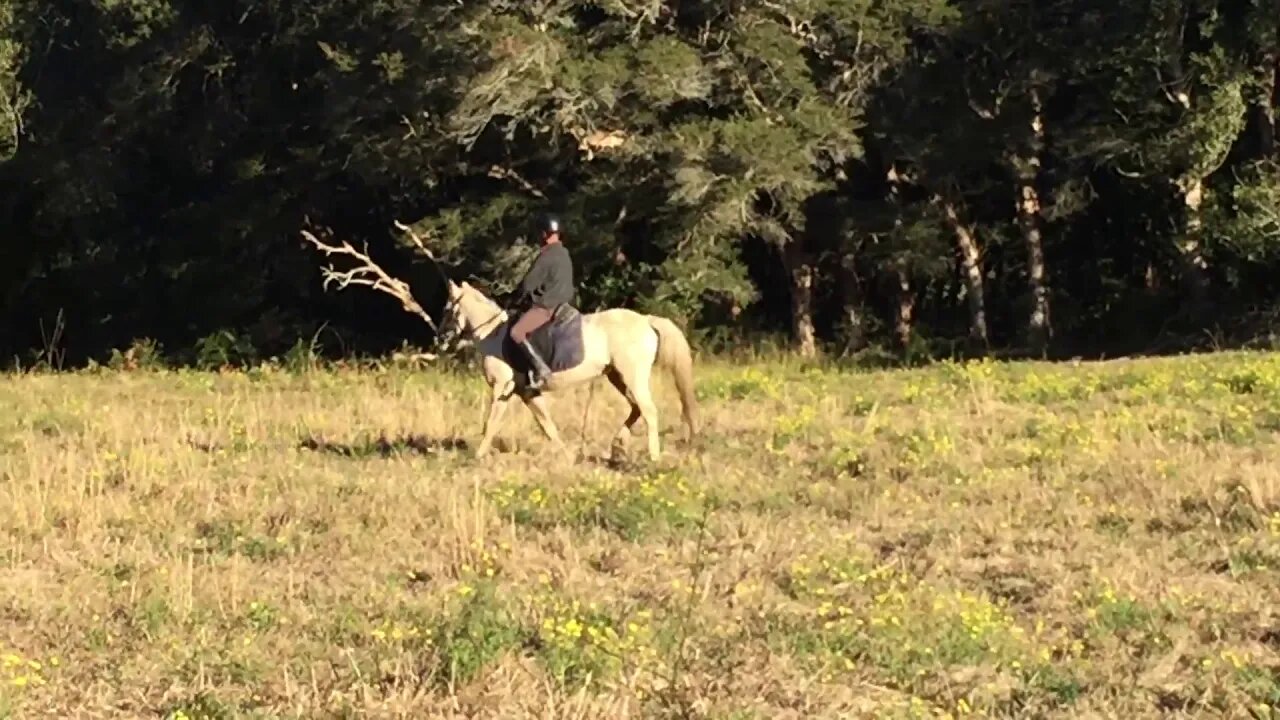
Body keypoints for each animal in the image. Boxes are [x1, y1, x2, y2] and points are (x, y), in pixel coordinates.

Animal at [440, 280, 701, 458]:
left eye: (447, 308)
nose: (440, 337)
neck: (493, 334)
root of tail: (646, 320)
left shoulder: (501, 388)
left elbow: (492, 422)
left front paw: (477, 456)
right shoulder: (526, 392)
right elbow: (546, 424)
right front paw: (565, 453)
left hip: (632, 376)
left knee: (648, 411)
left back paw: (653, 456)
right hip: (617, 376)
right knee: (635, 408)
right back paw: (616, 445)